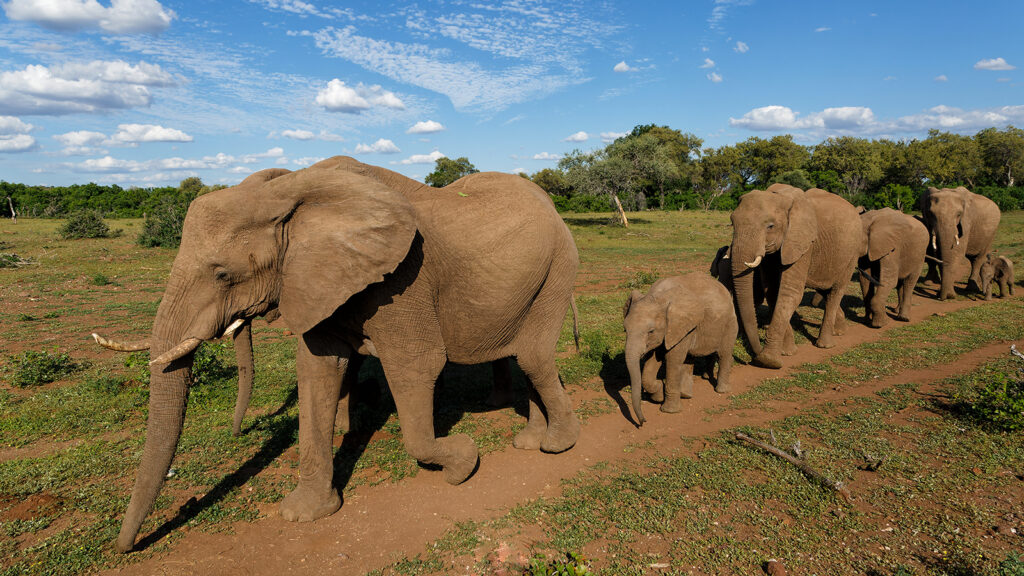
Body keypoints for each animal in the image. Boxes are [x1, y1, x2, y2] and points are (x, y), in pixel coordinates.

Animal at [107, 156, 580, 553]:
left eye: (223, 274)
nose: (125, 547)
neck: (292, 192)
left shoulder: (403, 280)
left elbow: (417, 366)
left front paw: (462, 463)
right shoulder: (317, 279)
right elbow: (318, 372)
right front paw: (305, 514)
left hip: (558, 269)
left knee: (533, 356)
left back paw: (556, 446)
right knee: (526, 357)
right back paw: (530, 440)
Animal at [623, 274, 737, 424]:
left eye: (651, 331)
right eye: (625, 330)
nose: (643, 422)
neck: (658, 296)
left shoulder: (679, 326)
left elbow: (673, 360)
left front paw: (669, 411)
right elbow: (653, 360)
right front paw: (659, 394)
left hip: (730, 323)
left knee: (724, 354)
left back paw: (721, 391)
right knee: (692, 358)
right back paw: (689, 391)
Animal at [729, 184, 865, 368]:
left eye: (770, 226)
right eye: (732, 222)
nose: (755, 354)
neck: (780, 197)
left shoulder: (803, 243)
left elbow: (790, 293)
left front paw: (768, 361)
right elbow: (772, 292)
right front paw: (787, 352)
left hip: (852, 254)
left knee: (836, 292)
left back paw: (825, 344)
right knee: (825, 289)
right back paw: (840, 331)